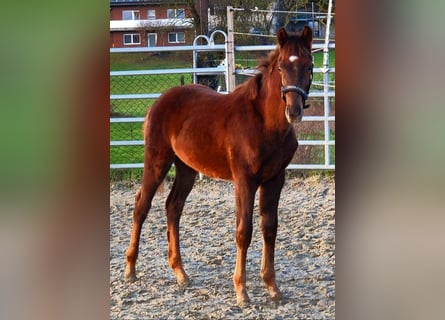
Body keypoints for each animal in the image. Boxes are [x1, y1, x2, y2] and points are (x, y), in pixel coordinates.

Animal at [124, 26, 312, 304]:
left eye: (309, 66)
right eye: (281, 67)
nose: (294, 111)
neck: (264, 121)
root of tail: (159, 102)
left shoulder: (275, 179)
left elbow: (270, 228)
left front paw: (272, 286)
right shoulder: (245, 180)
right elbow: (244, 231)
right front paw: (241, 291)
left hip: (186, 168)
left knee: (173, 207)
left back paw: (181, 273)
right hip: (157, 161)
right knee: (141, 206)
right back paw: (130, 270)